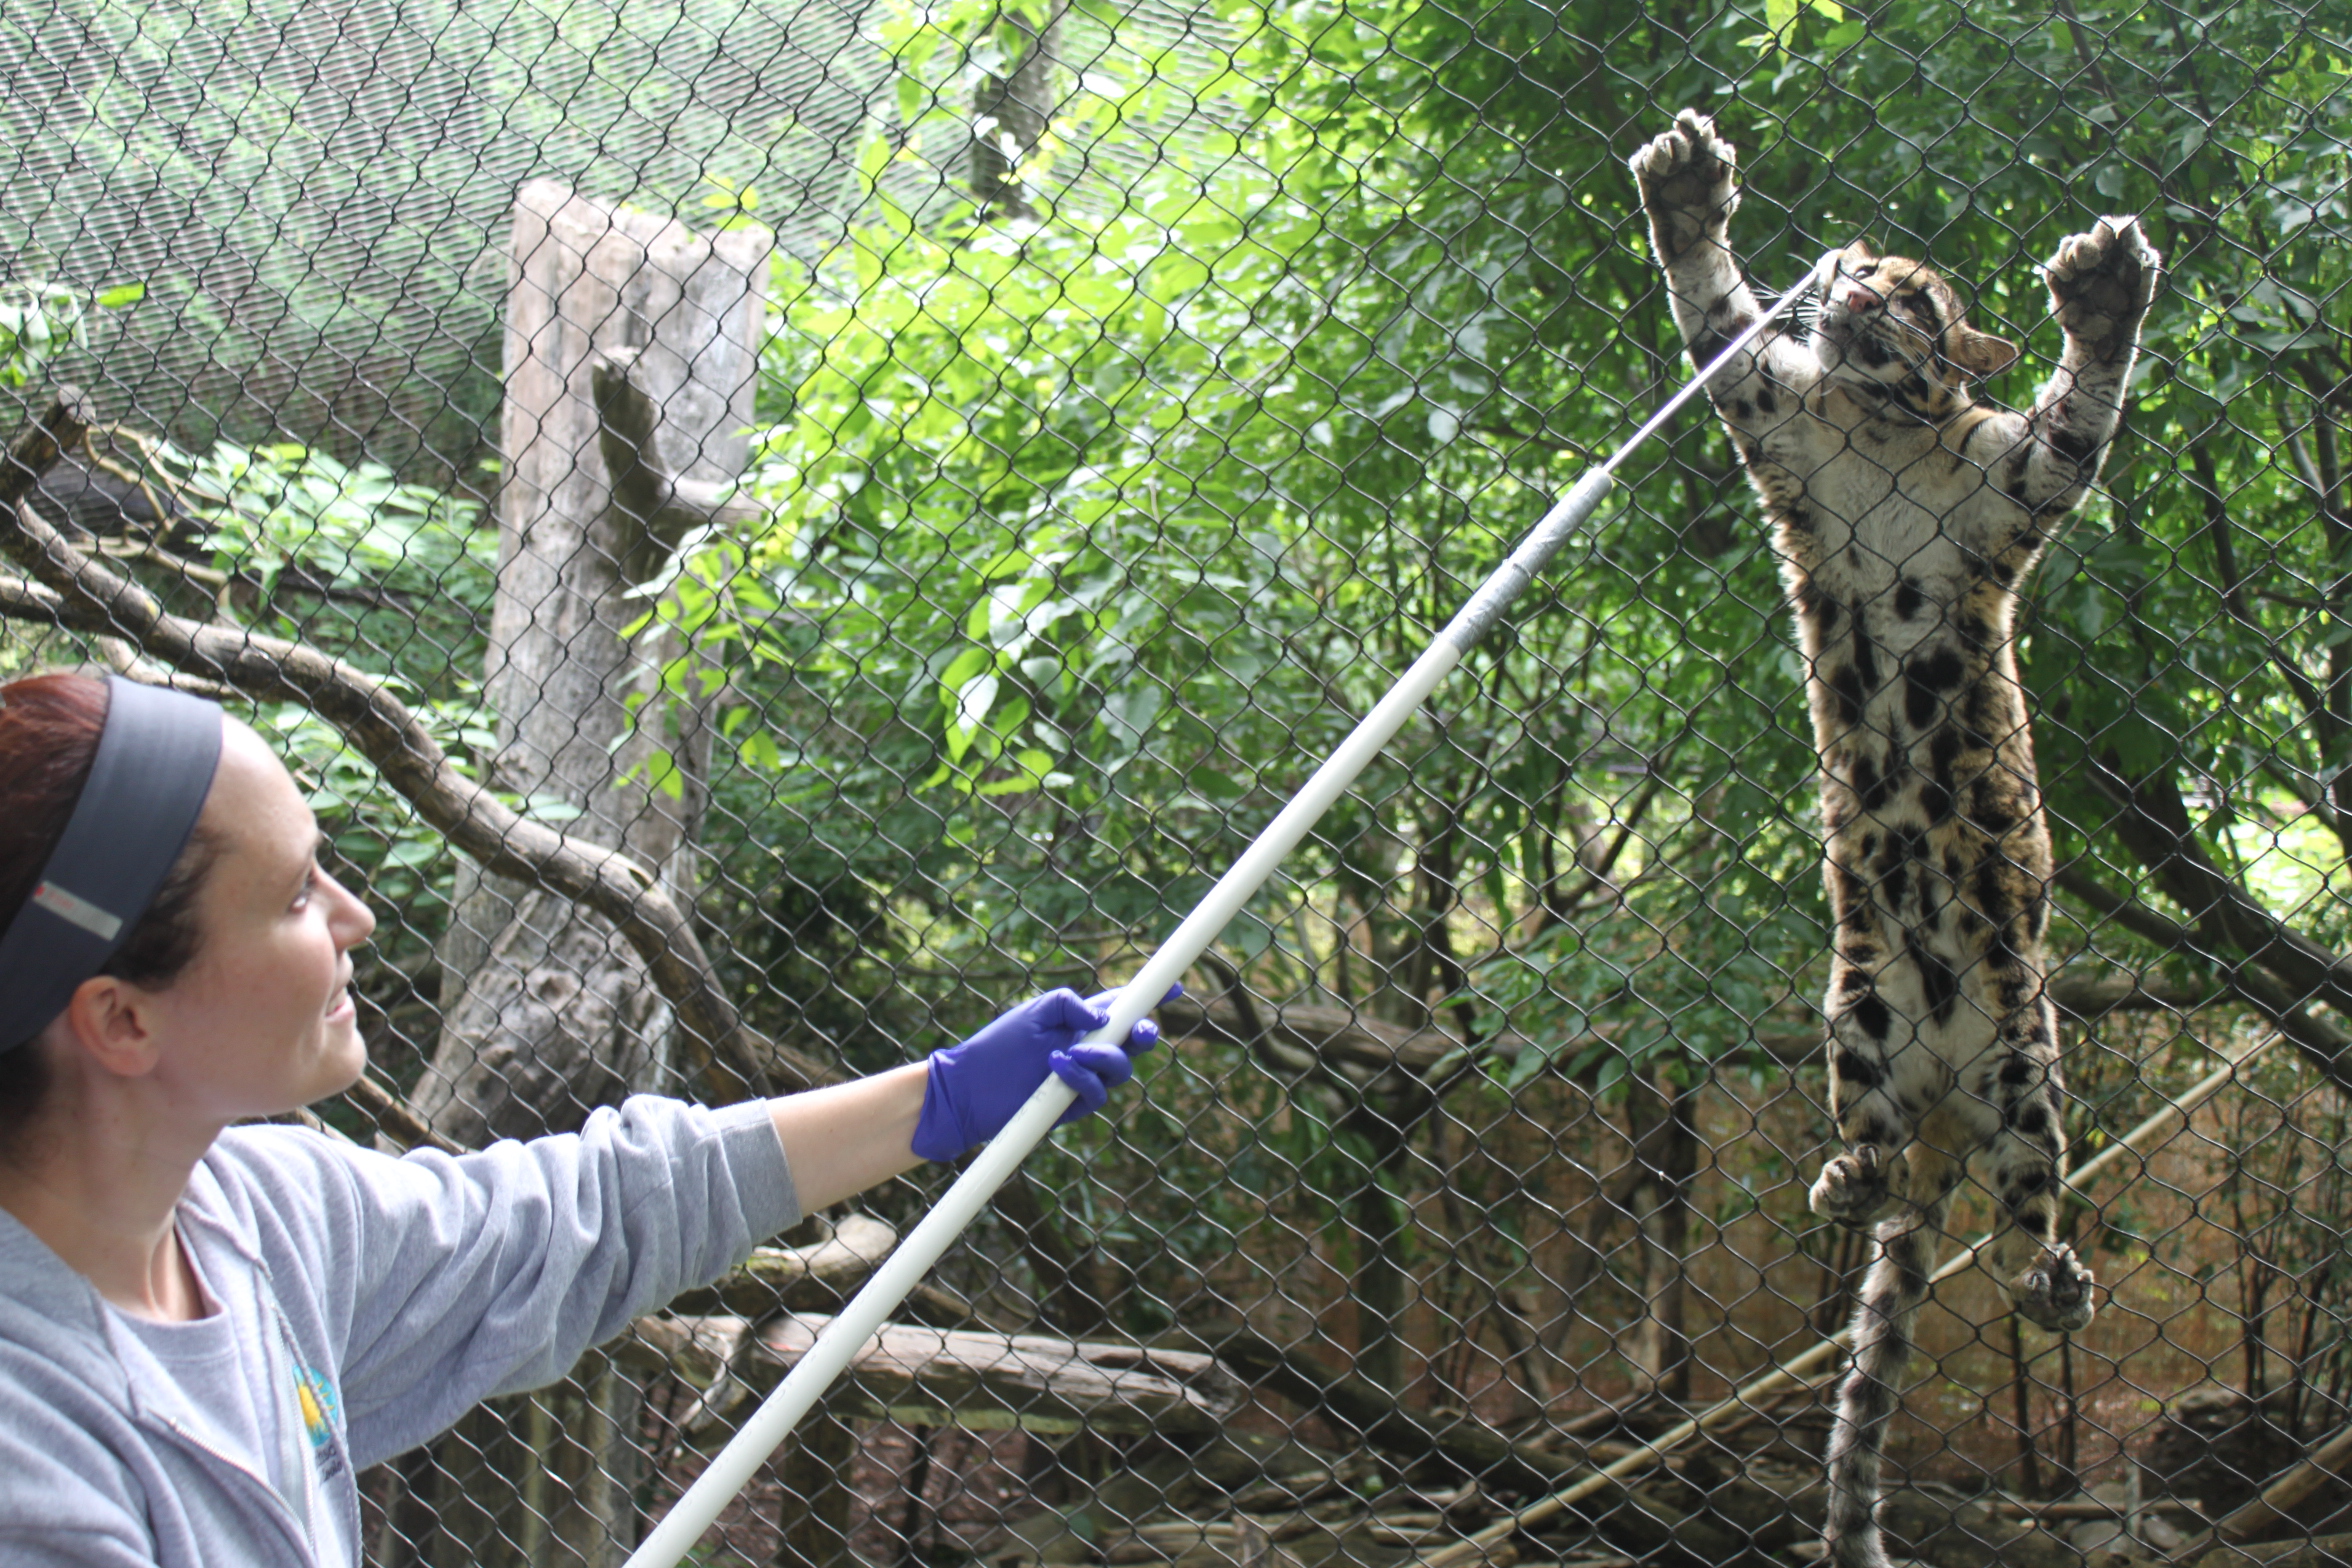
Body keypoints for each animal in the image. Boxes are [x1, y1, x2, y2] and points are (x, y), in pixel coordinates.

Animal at [1627, 110, 2154, 1568]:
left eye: (1914, 296)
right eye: (1862, 269)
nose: (1857, 286)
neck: (1878, 428)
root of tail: (1936, 1118)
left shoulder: (2020, 480)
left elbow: (2081, 411)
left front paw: (2105, 296)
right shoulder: (1772, 412)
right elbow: (1716, 316)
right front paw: (1686, 196)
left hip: (2030, 1064)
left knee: (2028, 1209)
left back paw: (2049, 1276)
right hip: (1853, 1015)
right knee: (1862, 1160)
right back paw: (1848, 1181)